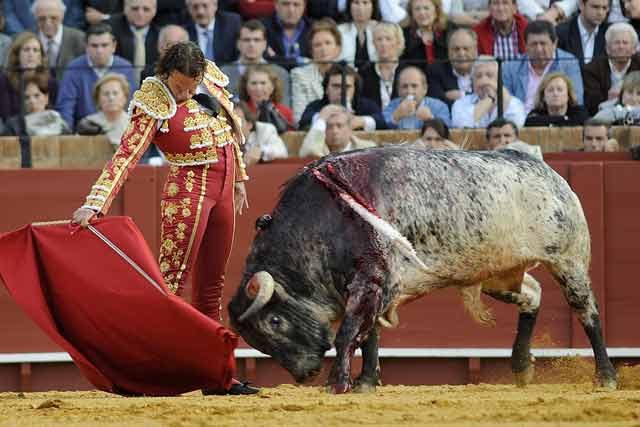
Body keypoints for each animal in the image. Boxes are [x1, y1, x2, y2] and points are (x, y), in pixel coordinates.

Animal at [228, 147, 616, 394]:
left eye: (275, 321)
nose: (304, 373)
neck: (326, 221)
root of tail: (551, 174)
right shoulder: (375, 289)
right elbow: (369, 336)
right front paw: (366, 383)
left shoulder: (369, 282)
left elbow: (349, 334)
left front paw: (337, 384)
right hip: (498, 274)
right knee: (532, 295)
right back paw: (521, 367)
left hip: (568, 260)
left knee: (588, 312)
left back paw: (606, 377)